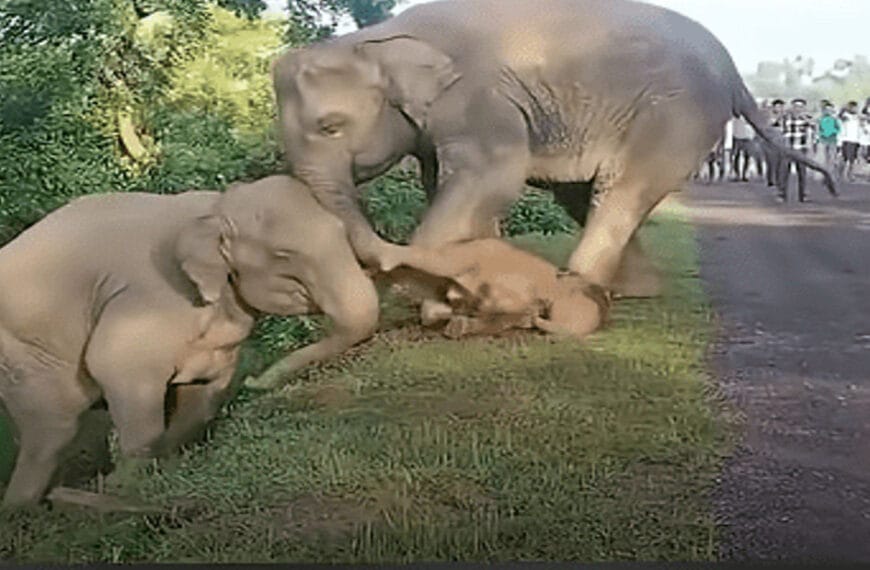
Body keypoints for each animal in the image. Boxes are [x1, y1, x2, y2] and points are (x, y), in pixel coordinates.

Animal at [0, 175, 378, 508]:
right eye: (284, 255)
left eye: (342, 230)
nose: (255, 381)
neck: (214, 207)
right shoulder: (149, 299)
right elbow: (116, 369)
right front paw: (123, 486)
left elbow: (203, 396)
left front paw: (168, 466)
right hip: (26, 356)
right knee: (53, 431)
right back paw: (25, 510)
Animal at [270, 0, 838, 325]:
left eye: (330, 126)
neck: (376, 38)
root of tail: (731, 67)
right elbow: (450, 184)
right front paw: (462, 296)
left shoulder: (478, 98)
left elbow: (493, 177)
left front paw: (440, 305)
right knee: (584, 194)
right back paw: (629, 291)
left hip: (679, 113)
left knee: (619, 190)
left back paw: (575, 301)